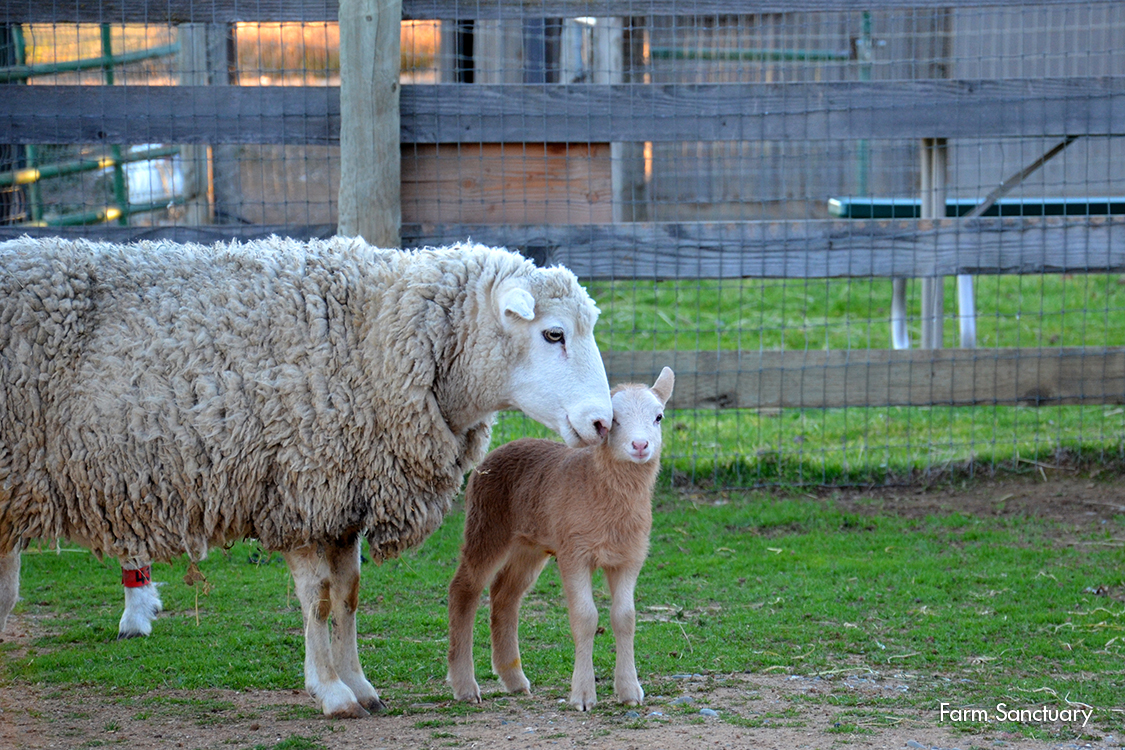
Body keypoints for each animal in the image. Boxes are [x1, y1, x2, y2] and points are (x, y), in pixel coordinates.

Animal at [0, 237, 612, 719]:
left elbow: (349, 596)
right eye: (553, 335)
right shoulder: (300, 490)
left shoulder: (342, 501)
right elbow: (317, 600)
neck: (377, 338)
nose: (603, 422)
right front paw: (332, 692)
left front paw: (360, 684)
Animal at [447, 366, 675, 715]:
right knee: (464, 589)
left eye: (659, 416)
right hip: (487, 524)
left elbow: (625, 618)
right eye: (614, 419)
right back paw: (465, 686)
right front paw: (582, 696)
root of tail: (500, 448)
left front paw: (629, 691)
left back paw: (514, 679)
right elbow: (585, 617)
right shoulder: (574, 553)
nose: (640, 445)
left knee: (504, 596)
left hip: (529, 544)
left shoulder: (629, 557)